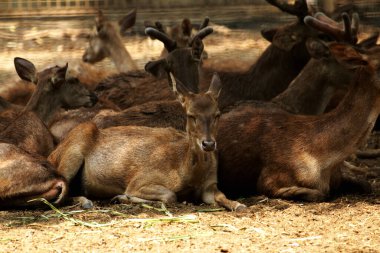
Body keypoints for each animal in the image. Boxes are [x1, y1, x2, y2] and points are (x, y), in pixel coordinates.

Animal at [48, 73, 246, 211]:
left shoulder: (210, 184)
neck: (188, 173)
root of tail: (52, 154)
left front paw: (238, 205)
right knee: (62, 188)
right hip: (73, 152)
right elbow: (170, 195)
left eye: (217, 114)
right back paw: (87, 202)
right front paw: (122, 197)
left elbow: (223, 196)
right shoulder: (140, 180)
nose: (208, 144)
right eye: (191, 115)